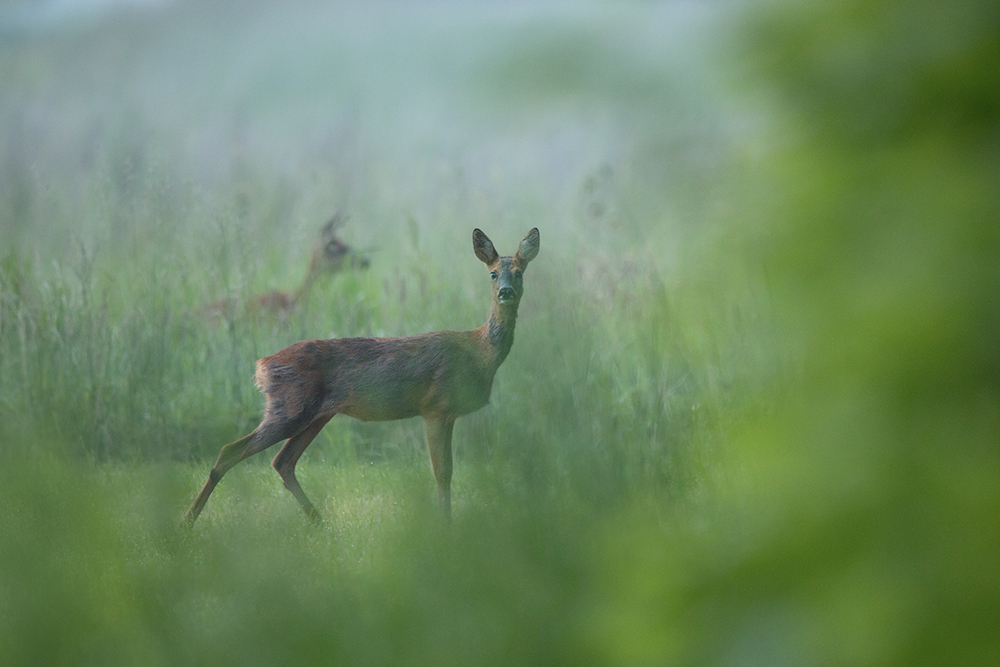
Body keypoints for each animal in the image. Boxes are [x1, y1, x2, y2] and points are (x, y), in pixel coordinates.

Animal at [188, 227, 544, 524]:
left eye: (520, 273)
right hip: (290, 407)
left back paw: (318, 521)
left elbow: (446, 472)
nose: (506, 292)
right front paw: (446, 526)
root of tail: (262, 365)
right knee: (230, 451)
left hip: (317, 414)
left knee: (282, 461)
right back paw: (188, 520)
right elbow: (443, 473)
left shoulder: (447, 413)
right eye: (493, 273)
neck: (480, 352)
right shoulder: (436, 406)